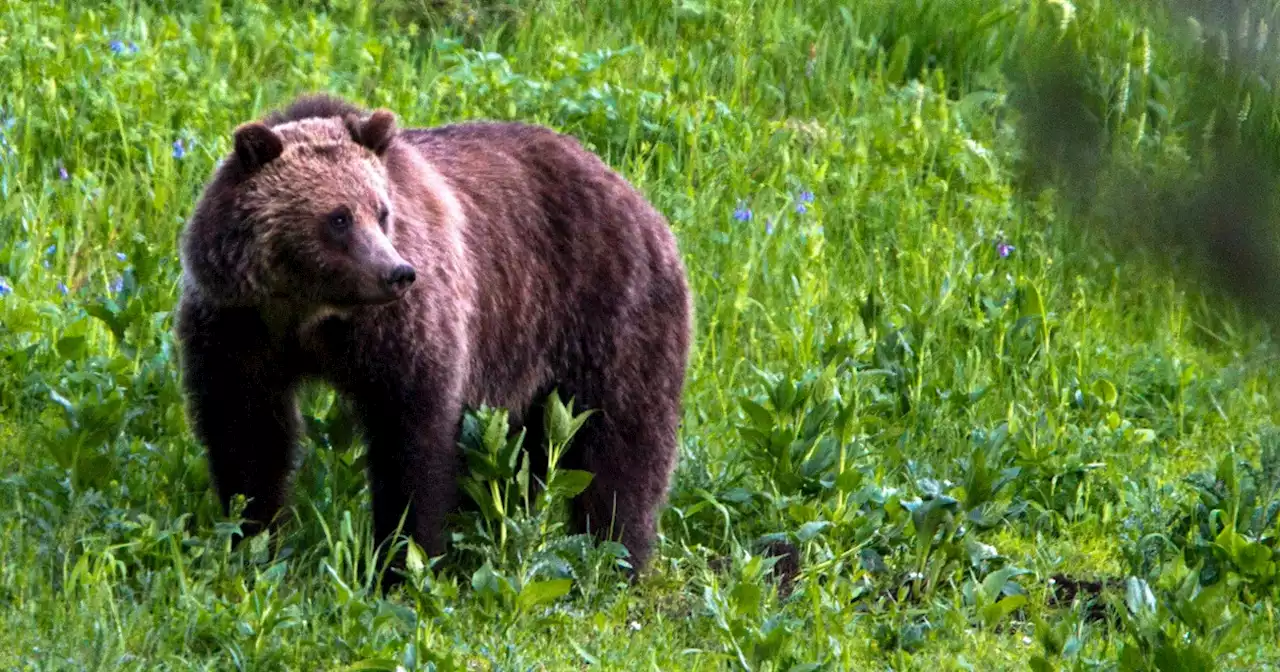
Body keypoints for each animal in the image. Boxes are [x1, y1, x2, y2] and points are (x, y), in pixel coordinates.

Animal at [172, 91, 691, 578]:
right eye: (338, 217)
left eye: (381, 211)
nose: (397, 273)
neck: (309, 312)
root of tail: (634, 195)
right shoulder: (238, 326)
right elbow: (247, 432)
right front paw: (252, 538)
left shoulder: (402, 330)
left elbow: (412, 438)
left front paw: (403, 559)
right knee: (525, 455)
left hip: (606, 312)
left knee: (621, 443)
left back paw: (617, 556)